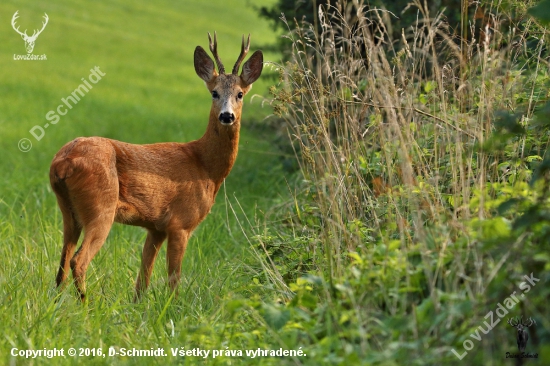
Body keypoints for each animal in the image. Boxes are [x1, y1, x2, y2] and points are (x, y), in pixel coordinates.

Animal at [49, 33, 264, 300]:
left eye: (240, 94)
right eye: (214, 92)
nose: (227, 116)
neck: (206, 167)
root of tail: (61, 164)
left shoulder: (156, 227)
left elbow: (143, 279)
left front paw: (137, 306)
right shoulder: (180, 223)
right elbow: (174, 279)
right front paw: (172, 307)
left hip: (69, 211)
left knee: (61, 265)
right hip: (101, 207)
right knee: (78, 261)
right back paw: (87, 306)